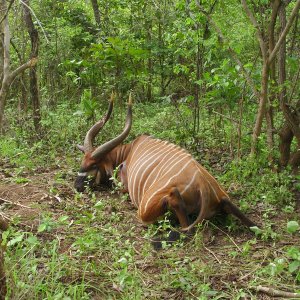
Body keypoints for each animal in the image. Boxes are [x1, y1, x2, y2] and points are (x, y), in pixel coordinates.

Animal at [75, 95, 255, 236]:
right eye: (82, 162)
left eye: (94, 165)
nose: (77, 186)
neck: (127, 152)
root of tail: (203, 186)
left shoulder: (123, 186)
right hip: (224, 199)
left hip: (144, 208)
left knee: (185, 227)